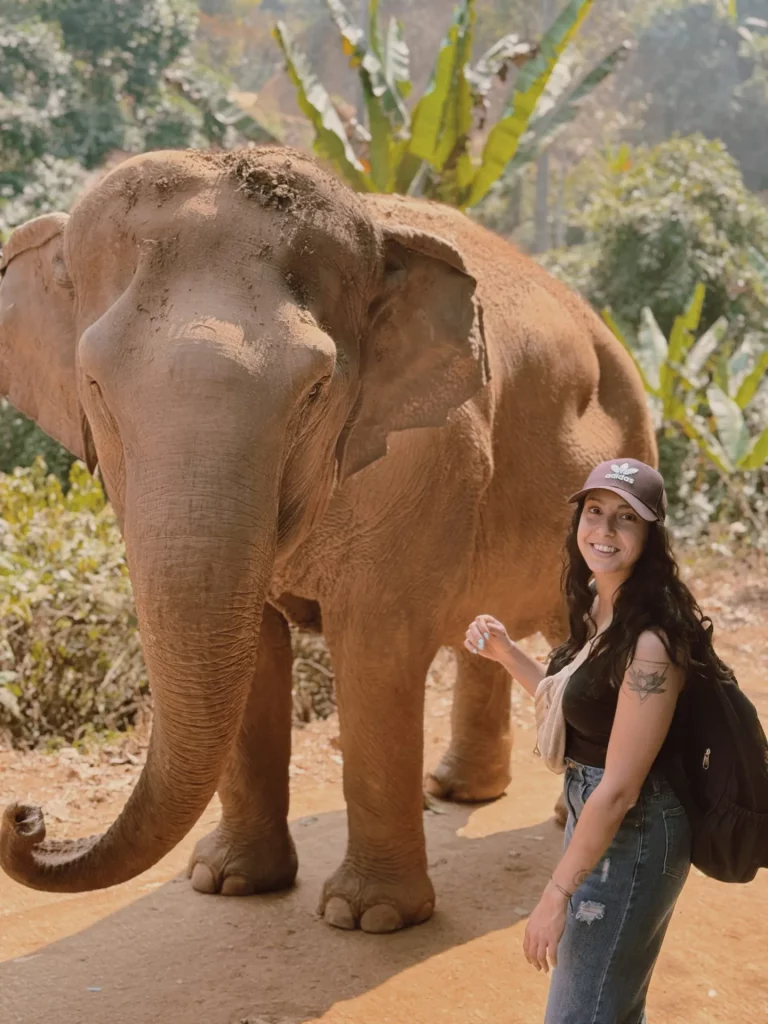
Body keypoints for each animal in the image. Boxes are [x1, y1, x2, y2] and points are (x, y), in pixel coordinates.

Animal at [0, 146, 656, 934]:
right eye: (93, 383)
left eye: (314, 391)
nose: (25, 816)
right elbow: (254, 648)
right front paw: (227, 881)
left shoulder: (426, 456)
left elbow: (374, 647)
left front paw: (367, 918)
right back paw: (460, 792)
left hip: (625, 450)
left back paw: (562, 818)